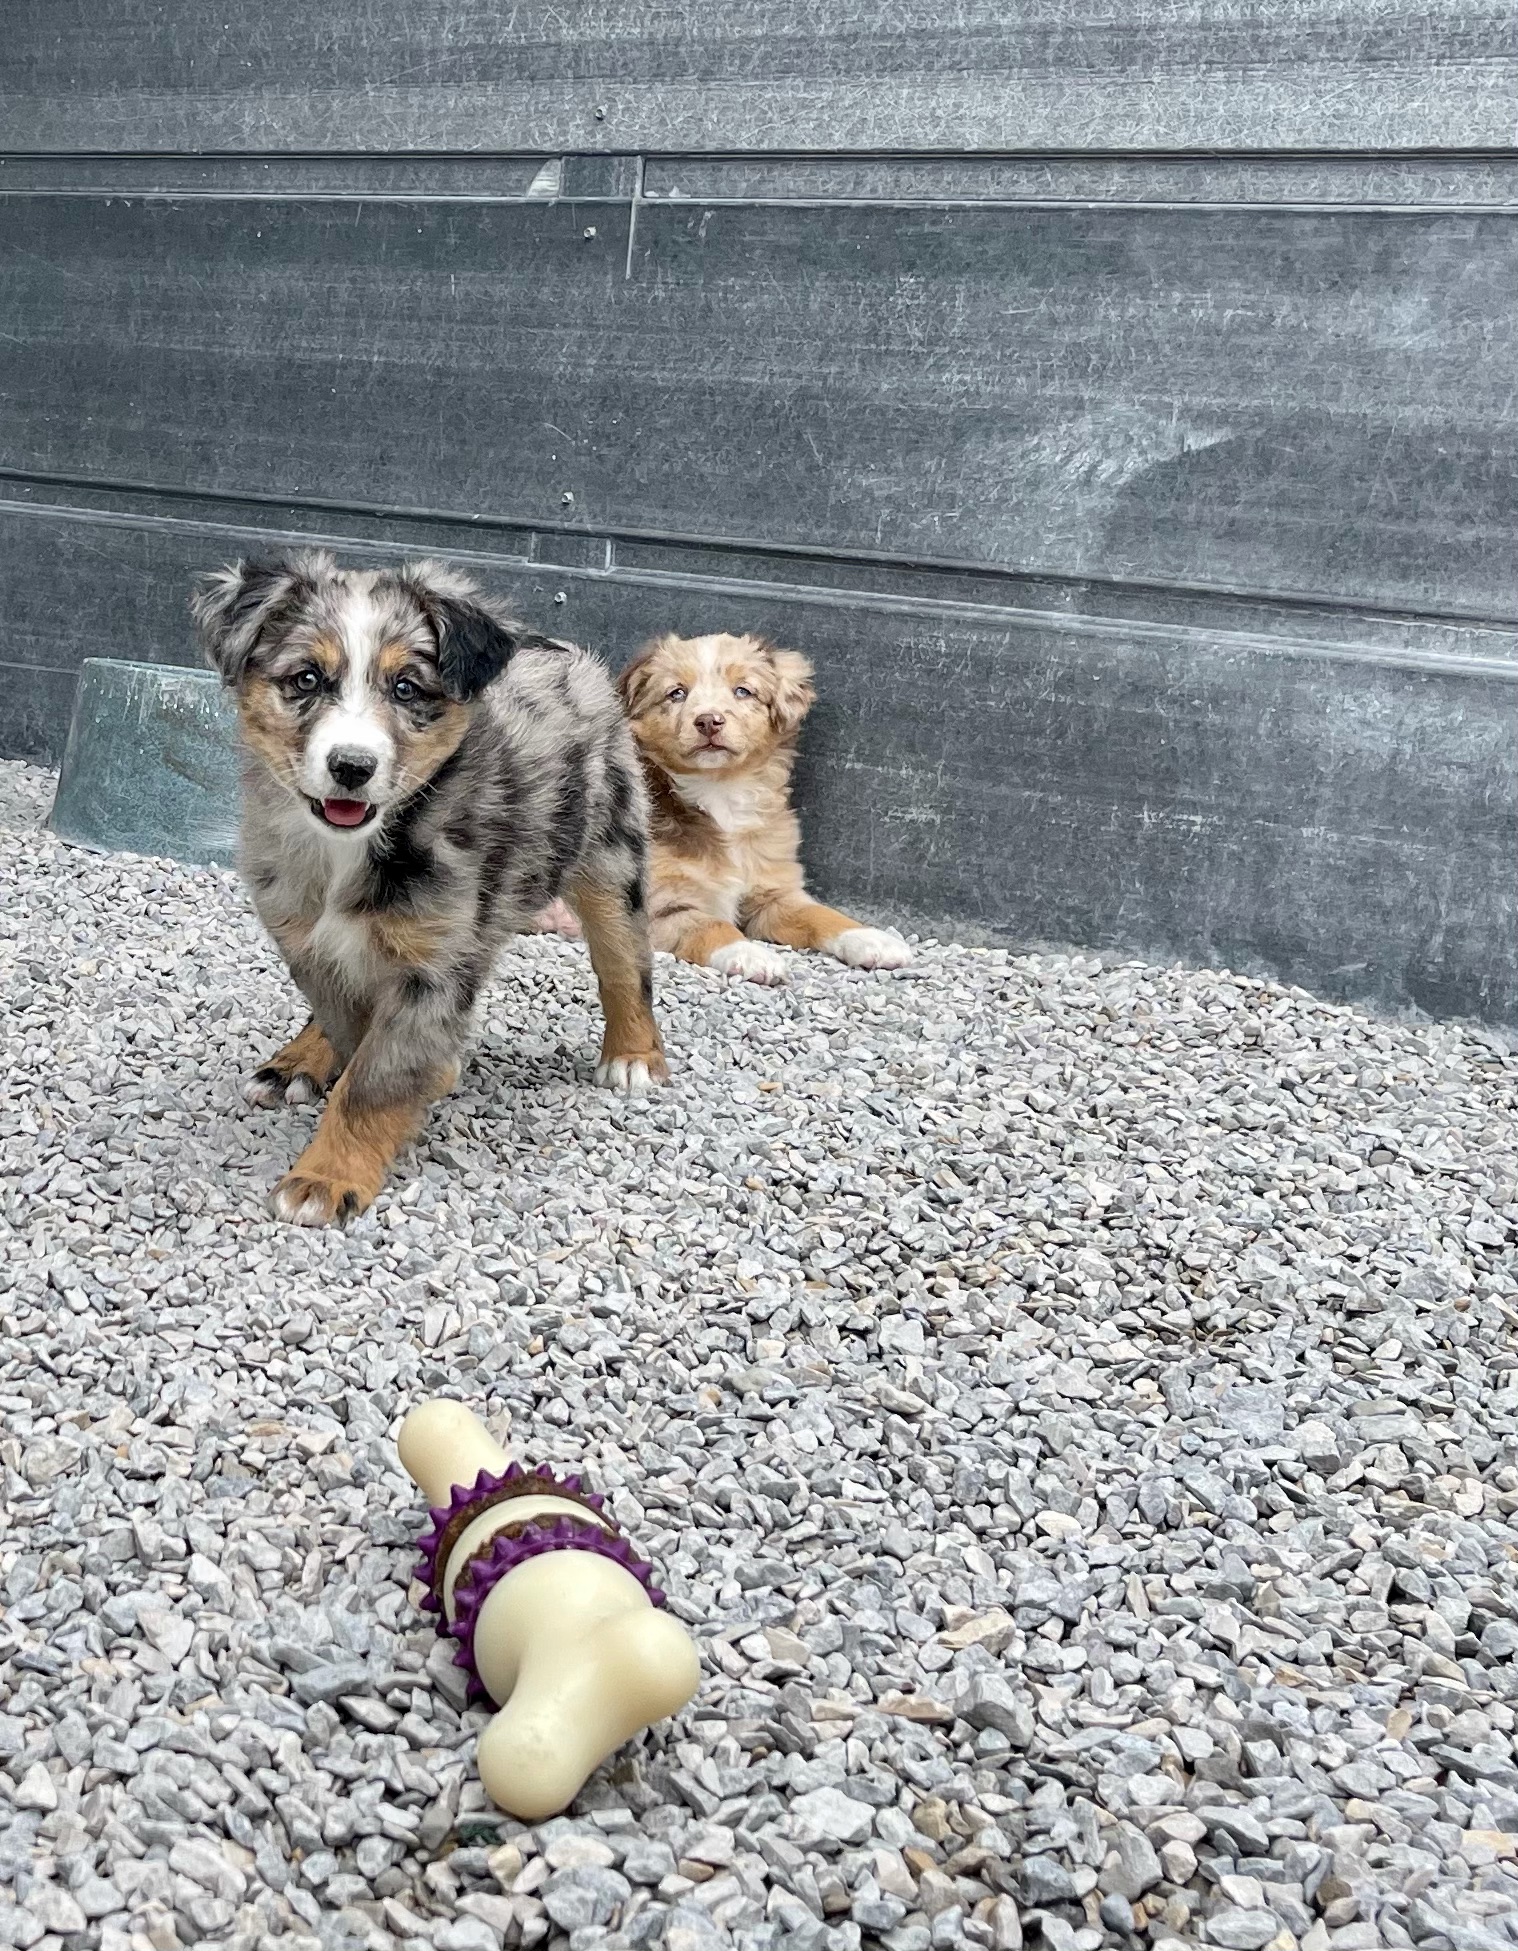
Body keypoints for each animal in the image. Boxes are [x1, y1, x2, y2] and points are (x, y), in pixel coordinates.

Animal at [191, 546, 663, 1217]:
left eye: (406, 688)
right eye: (306, 679)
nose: (352, 767)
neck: (348, 852)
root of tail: (567, 652)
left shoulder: (437, 960)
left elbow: (374, 1077)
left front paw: (326, 1179)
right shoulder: (301, 932)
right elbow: (352, 1030)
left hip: (610, 852)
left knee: (625, 962)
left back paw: (633, 1055)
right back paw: (298, 1061)